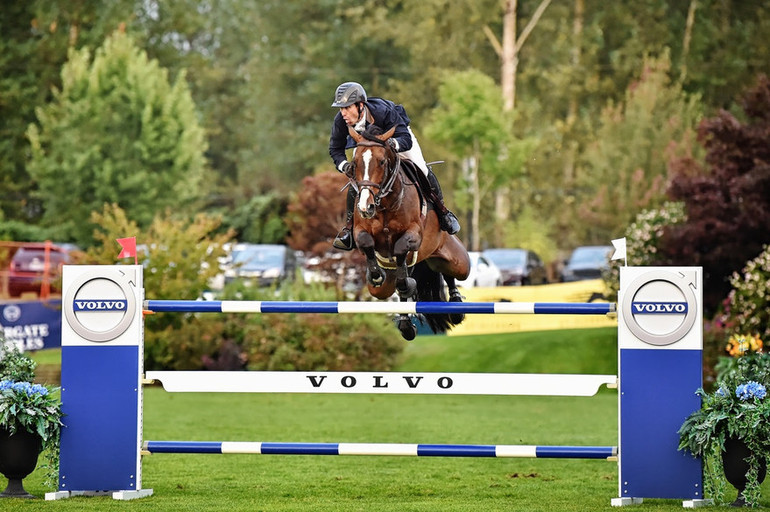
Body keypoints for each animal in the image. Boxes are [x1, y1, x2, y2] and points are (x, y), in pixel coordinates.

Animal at [344, 124, 468, 340]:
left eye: (382, 161)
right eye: (355, 163)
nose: (365, 207)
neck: (385, 203)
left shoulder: (415, 234)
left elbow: (401, 248)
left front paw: (406, 282)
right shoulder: (360, 230)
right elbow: (366, 242)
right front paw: (376, 274)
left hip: (457, 261)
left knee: (450, 273)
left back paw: (456, 308)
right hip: (383, 289)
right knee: (395, 288)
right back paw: (405, 325)